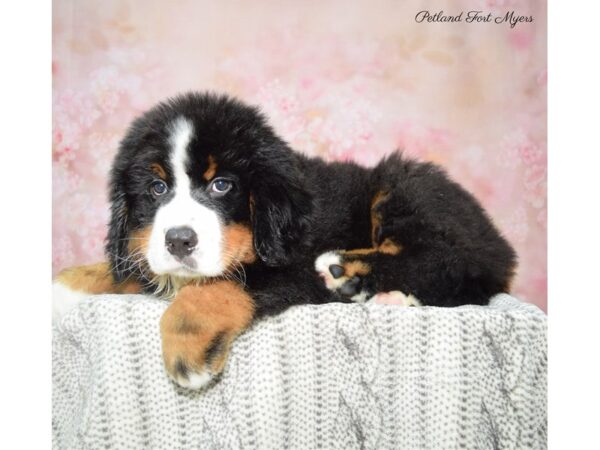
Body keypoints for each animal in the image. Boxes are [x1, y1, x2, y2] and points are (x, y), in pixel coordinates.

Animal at [52, 92, 516, 390]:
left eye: (222, 185)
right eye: (156, 188)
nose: (179, 241)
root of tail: (496, 239)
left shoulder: (292, 264)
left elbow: (218, 286)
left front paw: (187, 344)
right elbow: (129, 266)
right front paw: (65, 285)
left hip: (406, 185)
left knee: (451, 262)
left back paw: (347, 272)